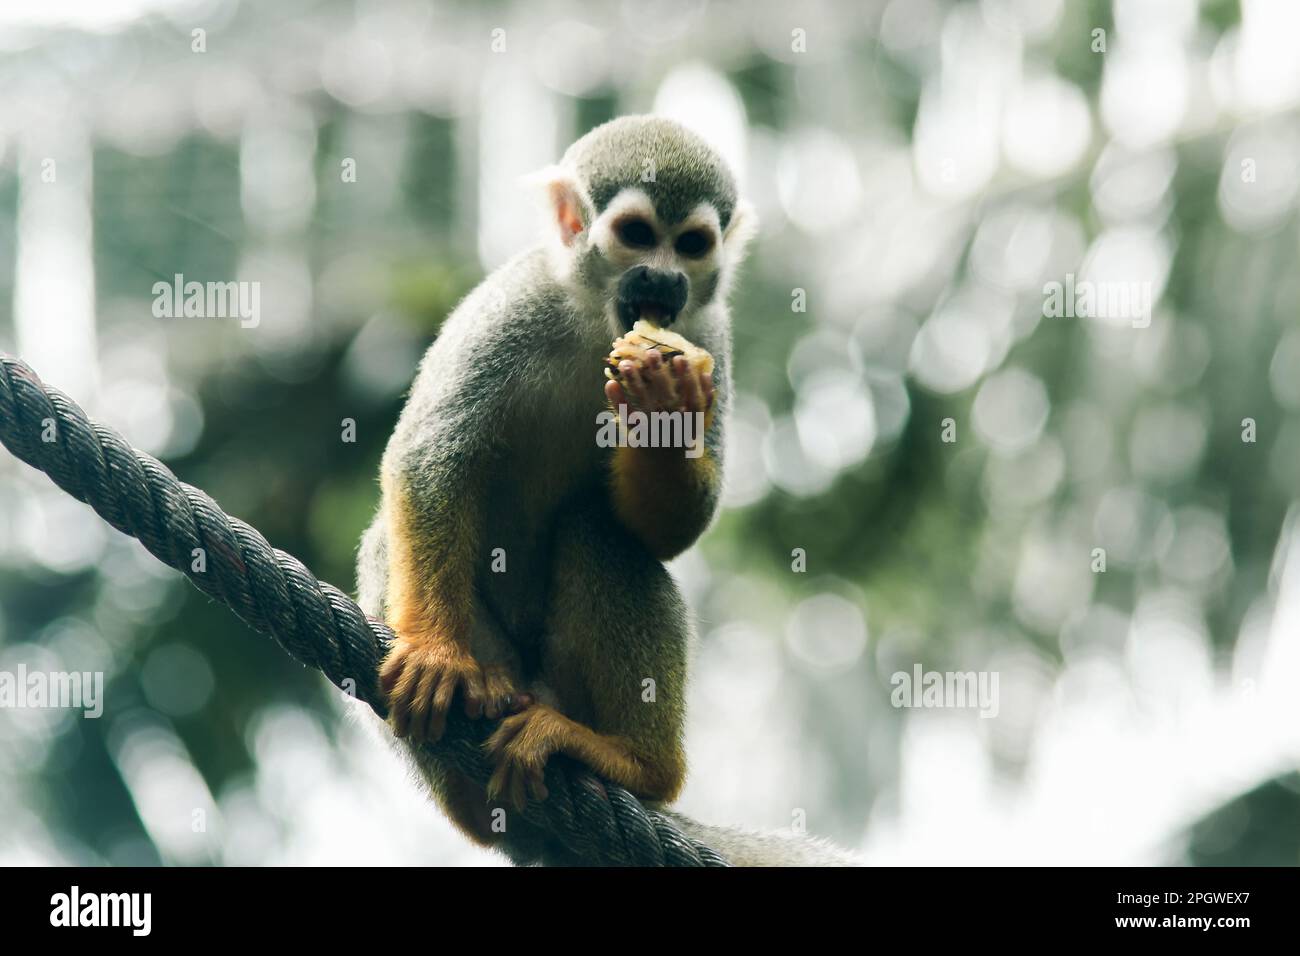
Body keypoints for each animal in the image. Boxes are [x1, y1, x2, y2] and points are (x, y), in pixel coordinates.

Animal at [355, 115, 859, 866]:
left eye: (692, 244)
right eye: (636, 234)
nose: (664, 276)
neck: (600, 321)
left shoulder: (710, 337)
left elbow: (671, 530)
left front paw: (660, 407)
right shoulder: (514, 305)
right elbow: (433, 457)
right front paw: (438, 652)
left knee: (598, 528)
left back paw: (636, 764)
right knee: (389, 543)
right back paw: (479, 788)